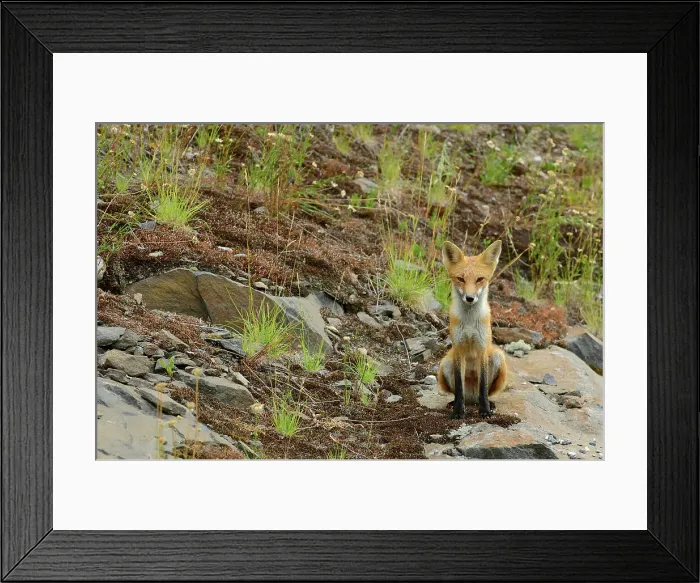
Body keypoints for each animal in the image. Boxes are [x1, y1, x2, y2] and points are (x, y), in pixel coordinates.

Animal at [437, 239, 508, 419]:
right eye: (461, 279)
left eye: (480, 279)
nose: (469, 298)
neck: (469, 322)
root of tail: (471, 399)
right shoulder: (458, 348)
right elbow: (459, 387)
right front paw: (457, 411)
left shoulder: (482, 347)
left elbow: (483, 387)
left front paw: (485, 411)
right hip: (445, 364)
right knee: (460, 392)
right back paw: (454, 403)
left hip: (498, 357)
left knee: (484, 393)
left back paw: (489, 404)